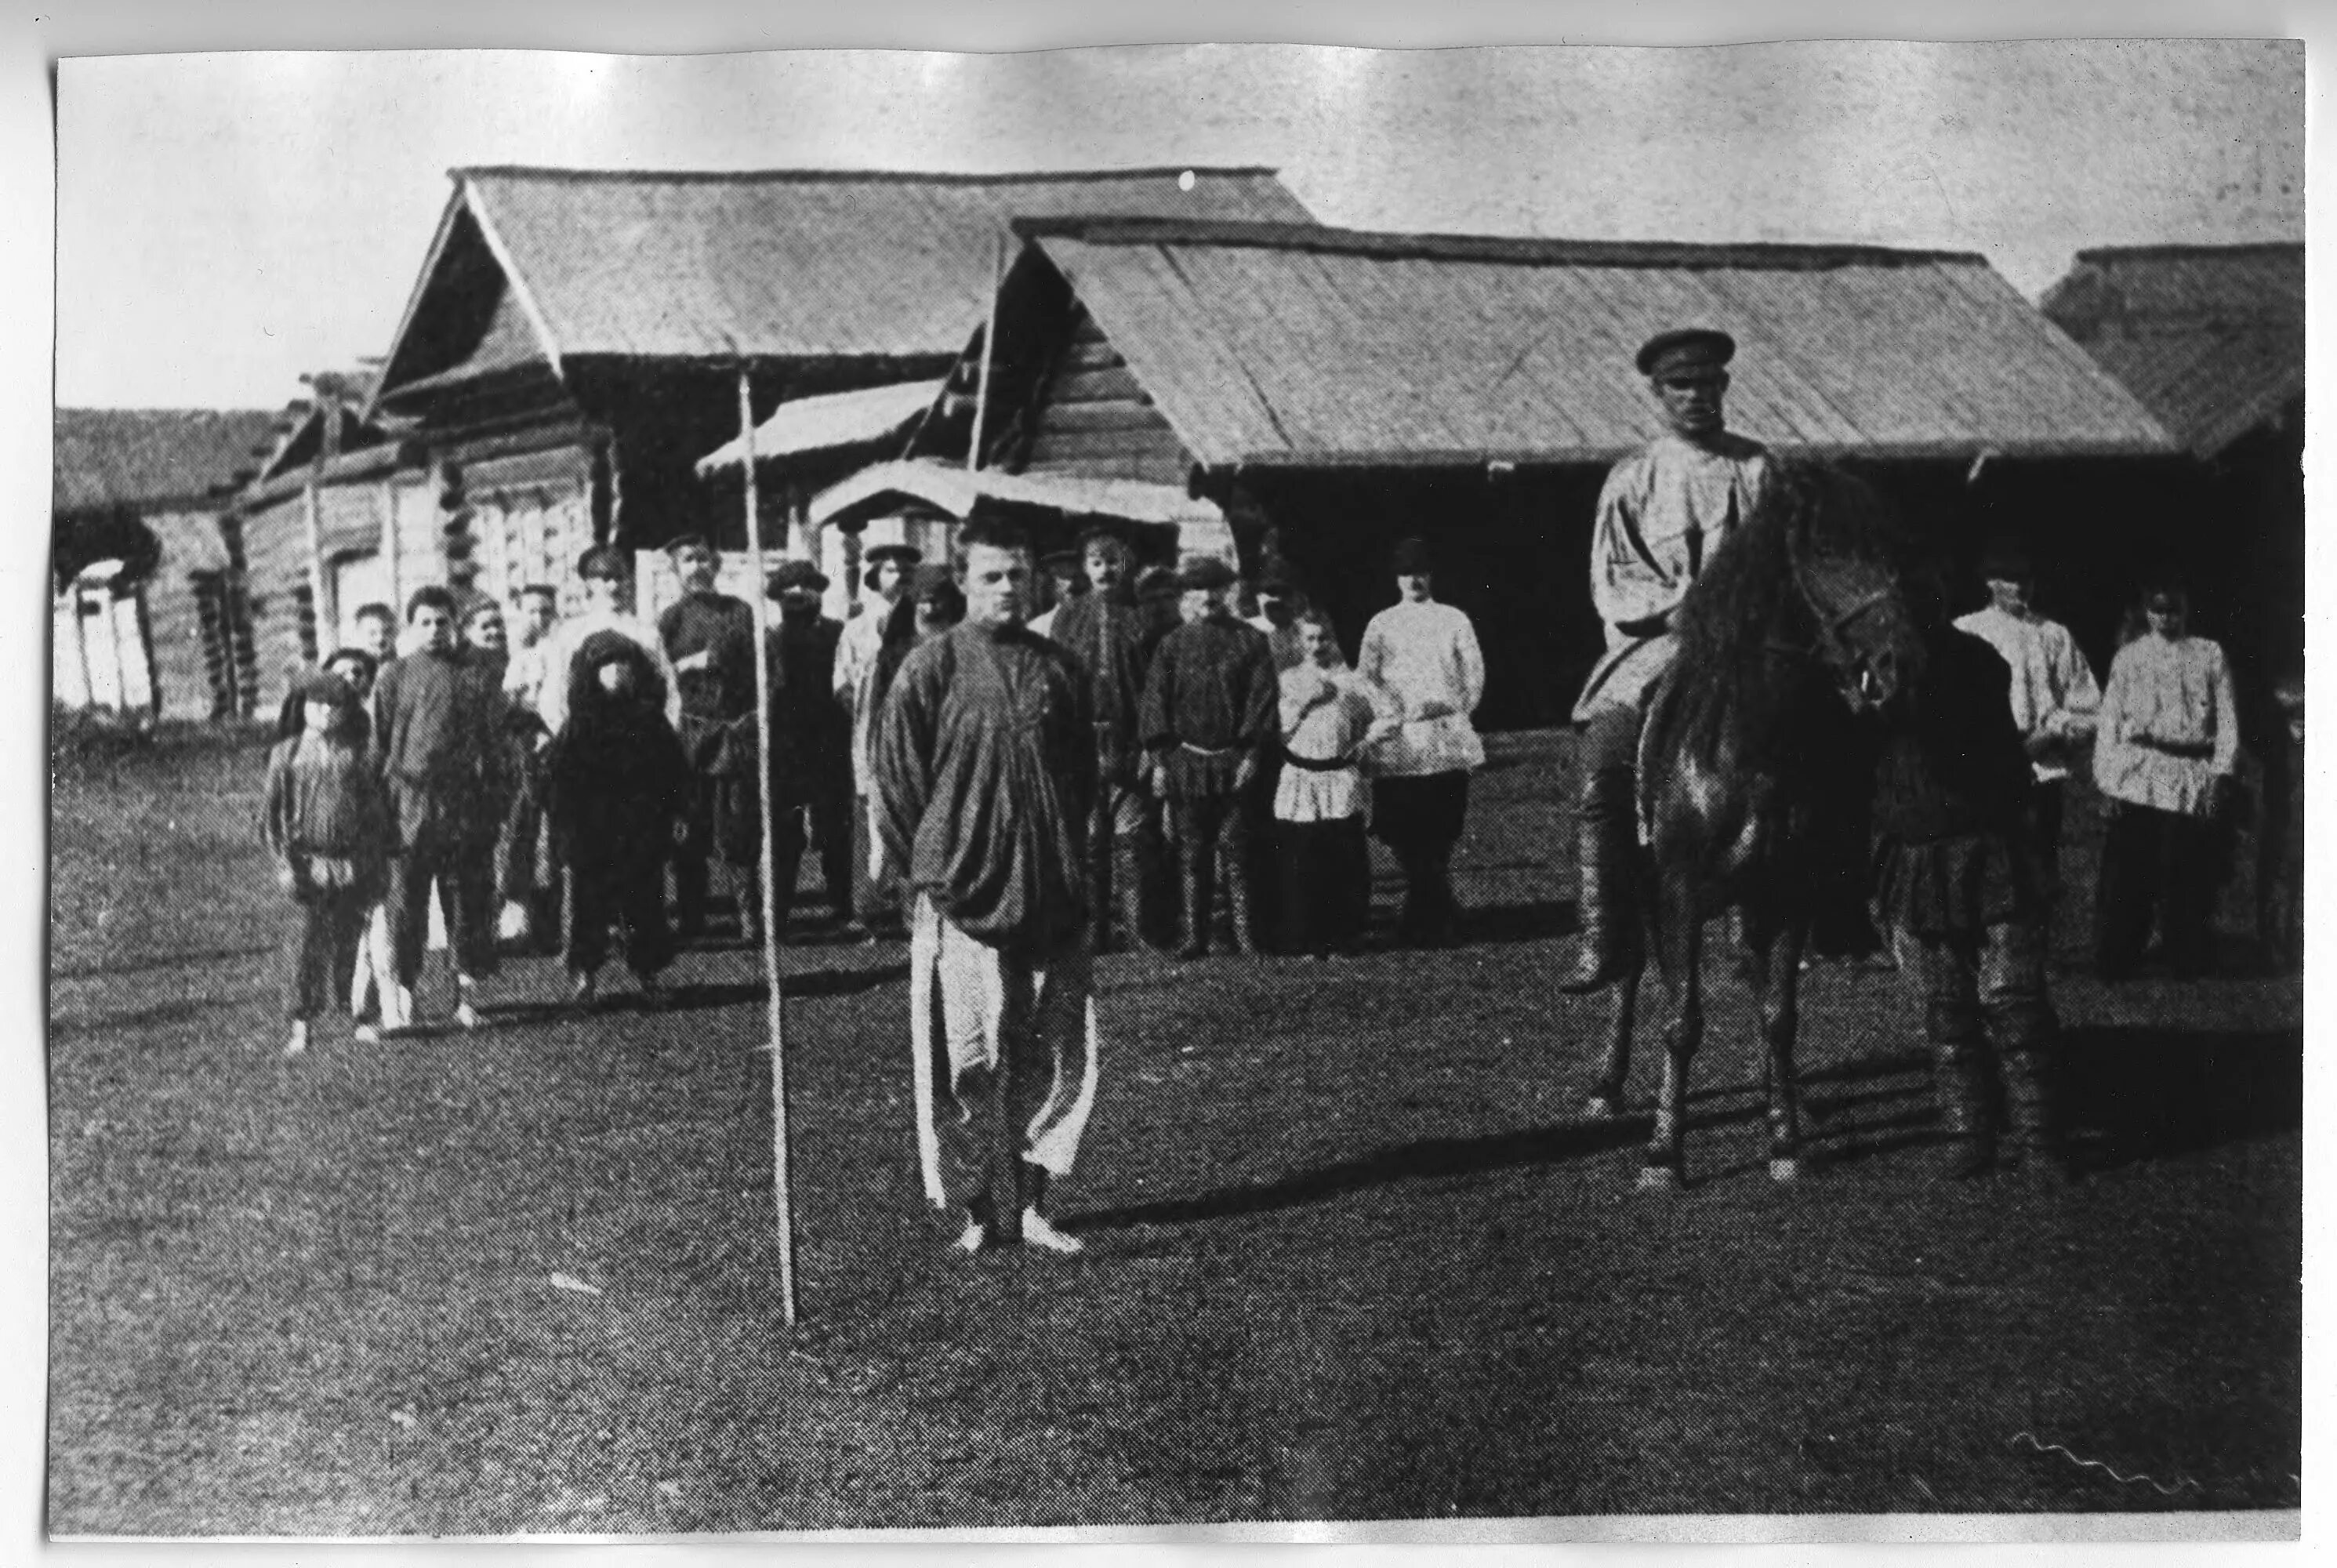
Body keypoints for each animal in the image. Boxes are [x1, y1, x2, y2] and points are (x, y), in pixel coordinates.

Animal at [1589, 463, 1935, 1192]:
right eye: (1823, 550)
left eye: (1888, 550)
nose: (1903, 663)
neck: (1750, 750)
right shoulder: (1681, 893)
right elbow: (1681, 1020)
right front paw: (1663, 1152)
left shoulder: (1790, 892)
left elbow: (1778, 1016)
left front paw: (1784, 1139)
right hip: (1642, 881)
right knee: (1633, 972)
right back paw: (1607, 1084)